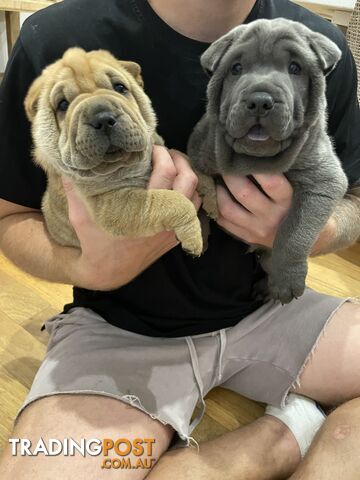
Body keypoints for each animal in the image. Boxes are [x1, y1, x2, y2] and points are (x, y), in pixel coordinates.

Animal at [23, 48, 205, 256]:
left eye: (120, 88)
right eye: (62, 105)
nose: (102, 118)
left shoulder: (162, 147)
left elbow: (188, 161)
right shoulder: (114, 205)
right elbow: (171, 201)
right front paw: (193, 237)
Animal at [188, 19, 348, 304]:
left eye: (295, 68)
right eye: (236, 68)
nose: (260, 100)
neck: (254, 160)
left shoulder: (323, 181)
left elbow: (295, 232)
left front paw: (285, 279)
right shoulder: (198, 150)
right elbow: (199, 187)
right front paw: (199, 233)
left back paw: (268, 288)